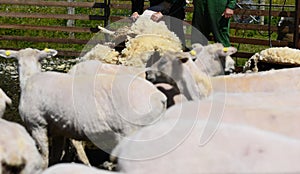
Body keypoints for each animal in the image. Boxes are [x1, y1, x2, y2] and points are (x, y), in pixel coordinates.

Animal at [0, 48, 166, 168]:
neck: (30, 78)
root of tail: (159, 97)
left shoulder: (37, 125)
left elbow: (44, 158)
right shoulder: (58, 130)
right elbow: (55, 157)